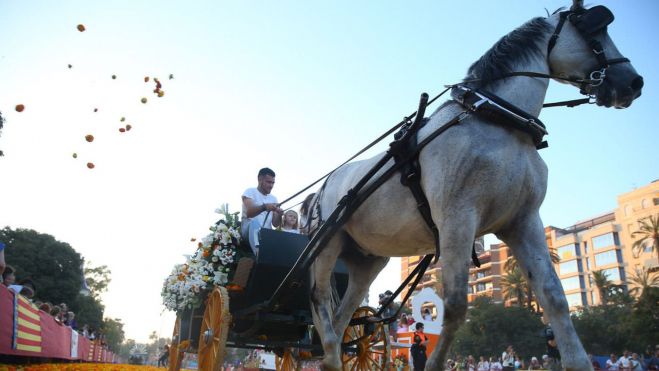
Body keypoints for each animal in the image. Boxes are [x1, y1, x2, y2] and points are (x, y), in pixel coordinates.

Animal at [310, 1, 644, 370]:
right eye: (594, 30)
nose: (633, 81)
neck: (498, 121)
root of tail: (324, 187)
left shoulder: (523, 221)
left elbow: (554, 296)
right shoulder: (457, 218)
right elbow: (456, 305)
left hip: (368, 259)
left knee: (343, 315)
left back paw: (332, 357)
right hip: (328, 244)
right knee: (320, 298)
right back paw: (328, 349)